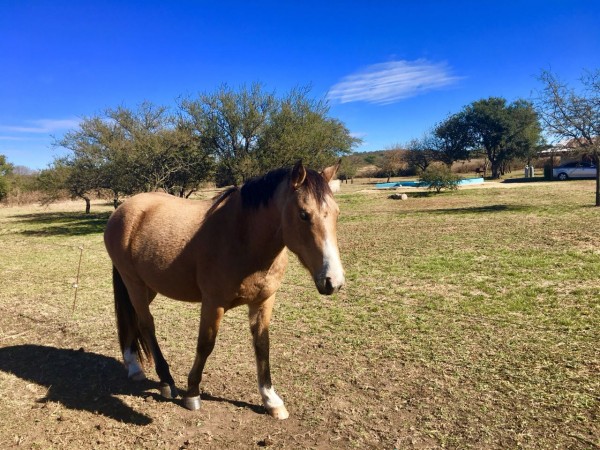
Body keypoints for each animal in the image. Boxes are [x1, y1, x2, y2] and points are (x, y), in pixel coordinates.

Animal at [105, 161, 344, 418]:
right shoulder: (213, 303)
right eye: (303, 214)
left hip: (147, 286)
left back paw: (133, 366)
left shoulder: (264, 301)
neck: (242, 236)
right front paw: (192, 393)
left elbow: (262, 345)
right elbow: (205, 344)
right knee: (146, 324)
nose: (334, 281)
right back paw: (166, 381)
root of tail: (123, 209)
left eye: (337, 213)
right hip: (134, 283)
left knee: (131, 319)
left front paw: (271, 399)